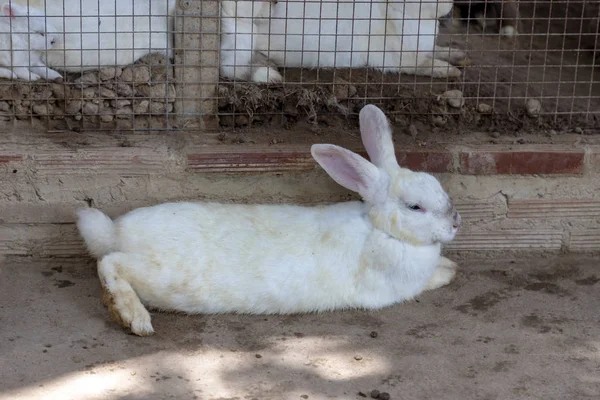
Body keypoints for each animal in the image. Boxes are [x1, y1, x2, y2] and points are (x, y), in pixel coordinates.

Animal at [77, 104, 462, 336]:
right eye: (415, 207)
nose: (456, 222)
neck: (380, 230)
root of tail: (113, 232)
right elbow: (430, 279)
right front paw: (449, 271)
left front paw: (450, 264)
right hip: (158, 274)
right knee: (109, 264)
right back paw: (133, 317)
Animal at [218, 0, 466, 82]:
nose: (450, 4)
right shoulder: (395, 57)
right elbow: (423, 63)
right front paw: (450, 71)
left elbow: (436, 50)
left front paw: (459, 55)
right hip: (244, 33)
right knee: (230, 68)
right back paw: (269, 75)